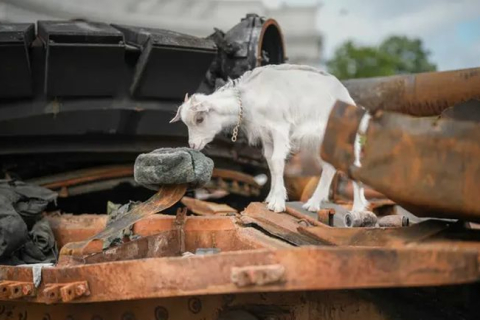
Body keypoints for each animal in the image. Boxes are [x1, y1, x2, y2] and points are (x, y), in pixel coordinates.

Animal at [171, 63, 370, 214]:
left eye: (200, 119)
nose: (193, 144)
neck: (249, 99)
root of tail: (347, 97)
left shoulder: (279, 128)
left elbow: (277, 161)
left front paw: (277, 204)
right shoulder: (266, 134)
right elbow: (271, 163)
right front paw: (270, 198)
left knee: (348, 165)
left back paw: (350, 209)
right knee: (333, 167)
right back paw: (321, 205)